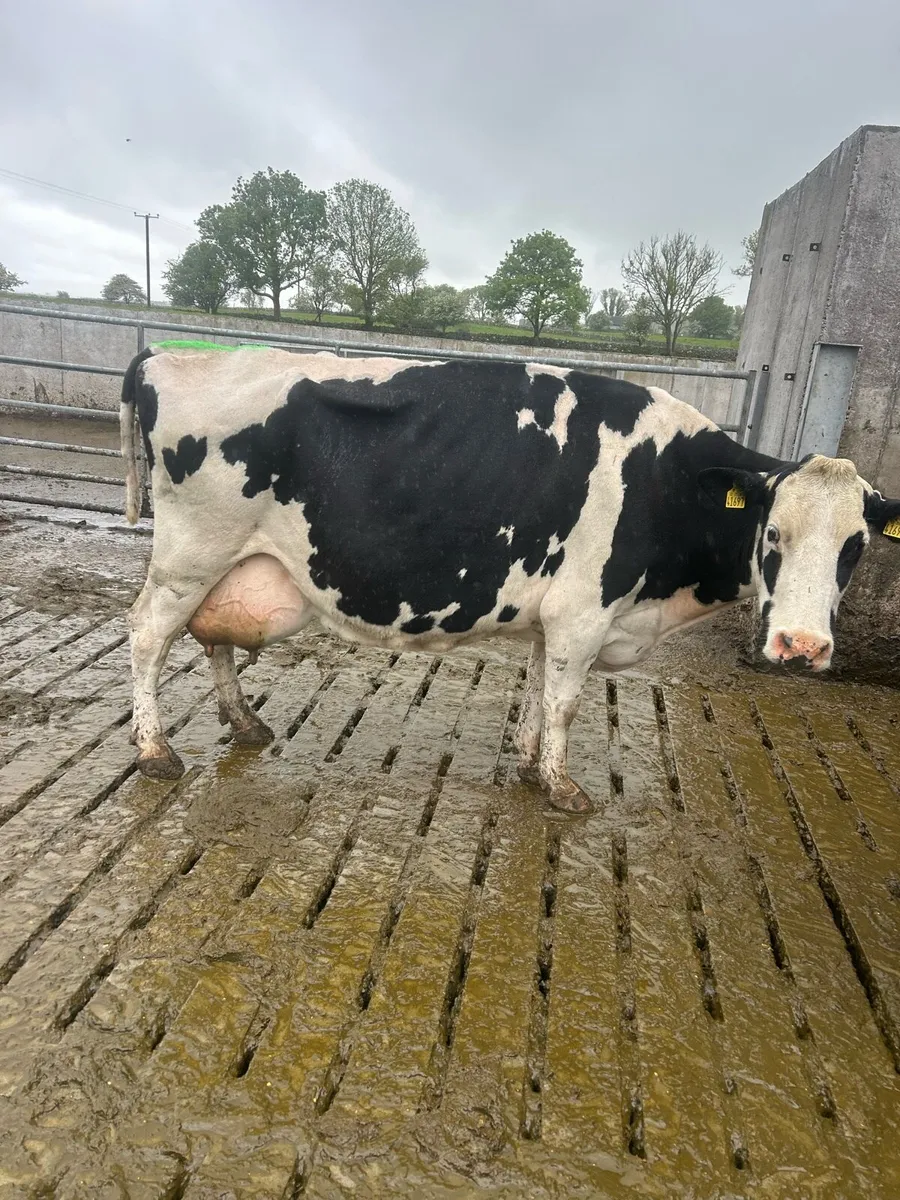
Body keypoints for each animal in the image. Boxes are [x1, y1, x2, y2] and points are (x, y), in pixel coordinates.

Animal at [120, 344, 900, 813]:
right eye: (772, 534)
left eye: (855, 547)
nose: (801, 647)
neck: (666, 481)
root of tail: (168, 355)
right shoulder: (585, 612)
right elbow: (565, 701)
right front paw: (563, 786)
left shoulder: (558, 615)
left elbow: (537, 687)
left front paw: (528, 764)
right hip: (192, 553)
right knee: (148, 635)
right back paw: (156, 751)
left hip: (231, 563)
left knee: (211, 637)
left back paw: (245, 723)